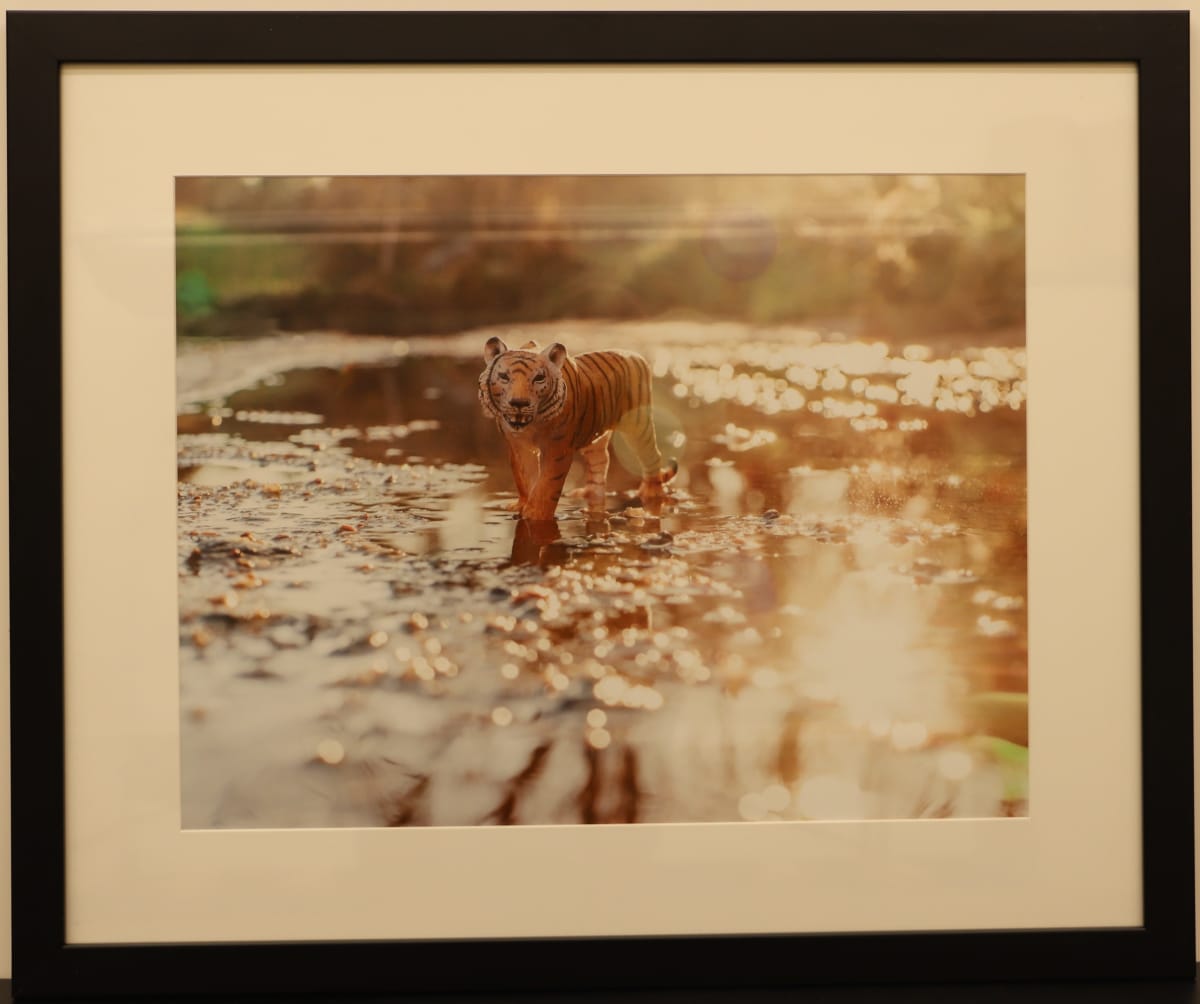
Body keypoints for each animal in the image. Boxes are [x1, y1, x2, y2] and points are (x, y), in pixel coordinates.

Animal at [478, 336, 676, 521]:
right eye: (504, 376)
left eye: (539, 378)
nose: (519, 403)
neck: (530, 425)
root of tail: (637, 356)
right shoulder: (517, 446)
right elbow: (524, 478)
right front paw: (521, 505)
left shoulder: (558, 448)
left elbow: (548, 482)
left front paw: (536, 513)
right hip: (595, 433)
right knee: (601, 460)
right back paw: (589, 492)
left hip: (638, 424)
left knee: (652, 456)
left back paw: (651, 492)